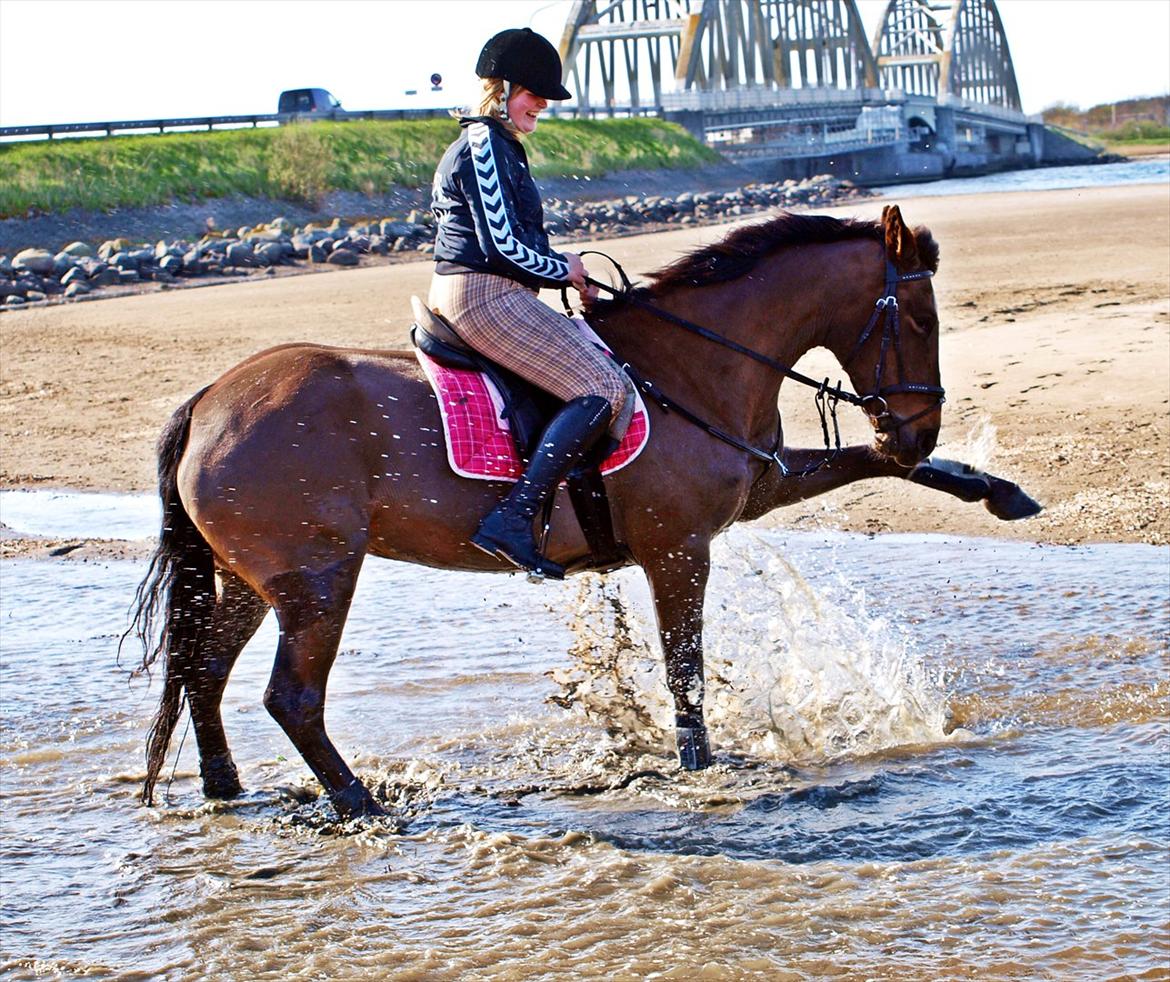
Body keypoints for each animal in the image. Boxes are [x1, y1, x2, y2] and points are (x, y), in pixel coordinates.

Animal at [128, 203, 950, 819]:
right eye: (919, 319)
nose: (919, 431)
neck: (688, 366)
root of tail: (209, 400)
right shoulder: (679, 549)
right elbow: (685, 672)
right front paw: (699, 769)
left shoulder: (760, 488)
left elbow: (864, 462)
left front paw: (976, 484)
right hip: (317, 582)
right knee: (292, 698)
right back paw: (361, 803)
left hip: (251, 581)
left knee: (204, 671)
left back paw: (226, 787)